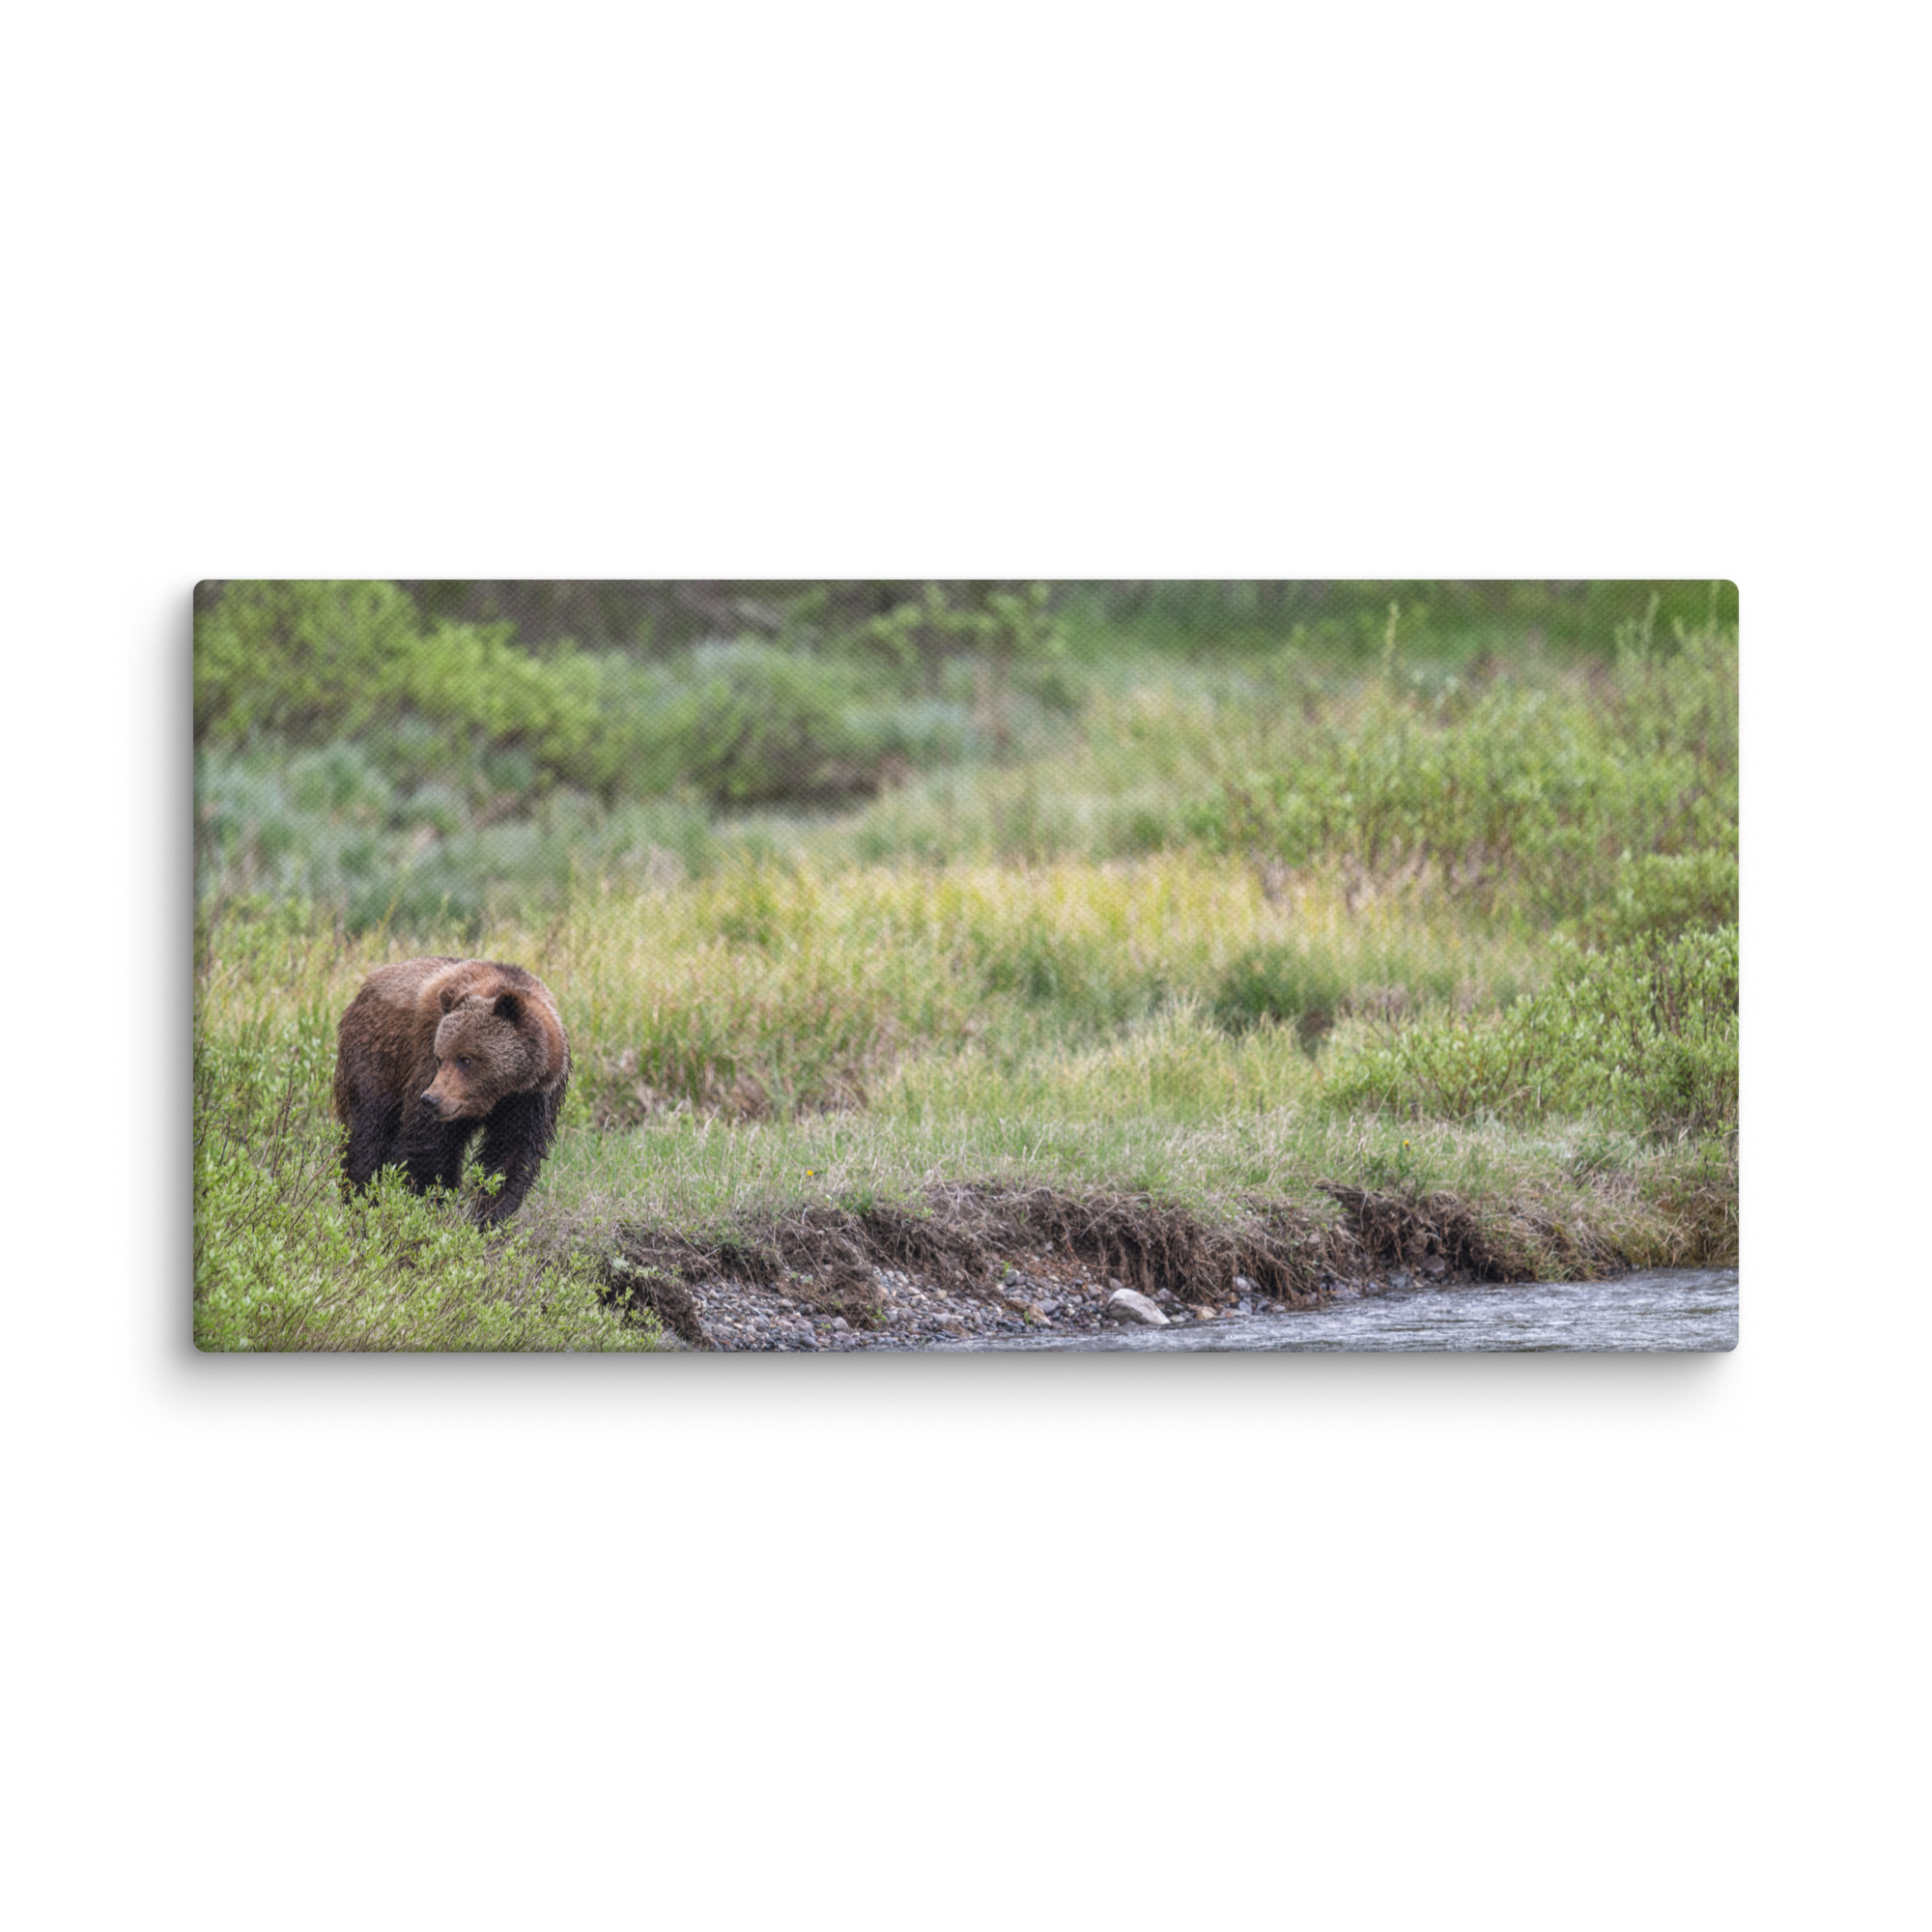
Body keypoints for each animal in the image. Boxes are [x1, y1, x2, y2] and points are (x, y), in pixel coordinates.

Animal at [333, 956, 571, 1225]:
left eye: (465, 1059)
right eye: (440, 1057)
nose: (431, 1099)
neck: (500, 1093)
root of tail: (366, 986)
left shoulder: (532, 1098)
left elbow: (511, 1156)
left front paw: (487, 1216)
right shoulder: (425, 1062)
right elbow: (428, 1146)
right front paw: (426, 1205)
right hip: (377, 1058)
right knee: (368, 1132)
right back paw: (361, 1201)